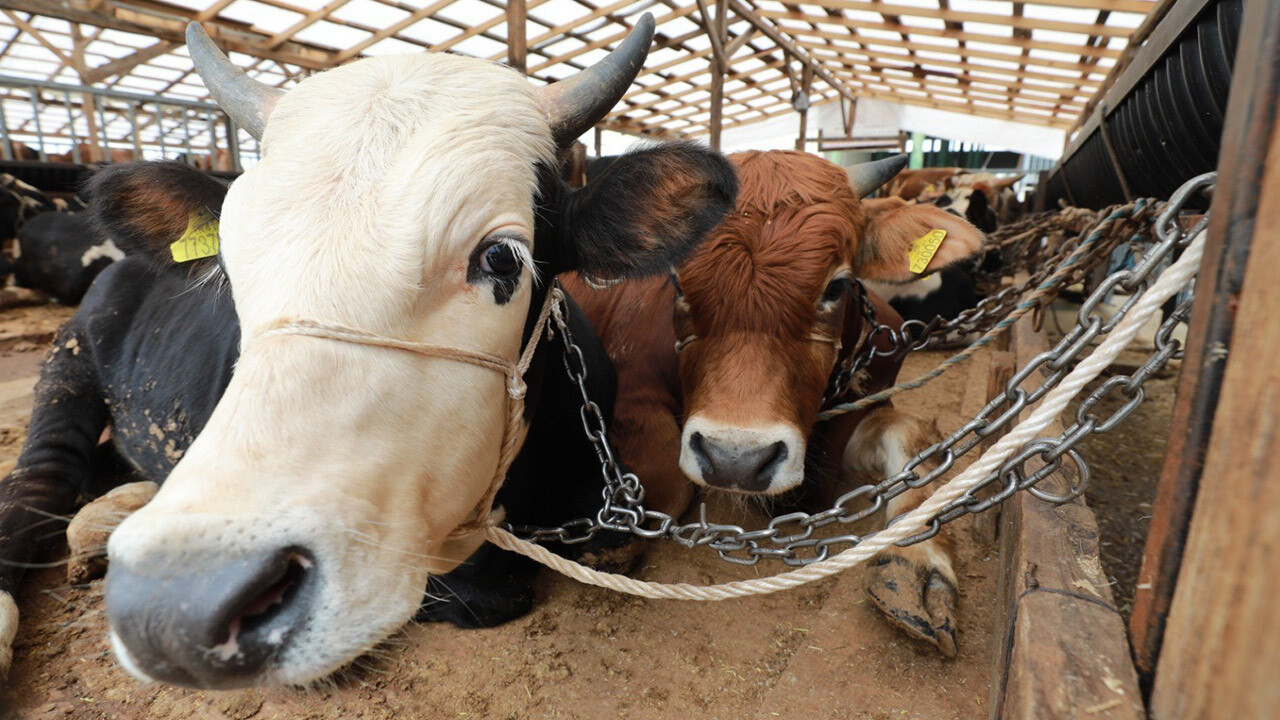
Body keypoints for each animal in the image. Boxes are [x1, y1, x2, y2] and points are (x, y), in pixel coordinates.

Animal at [0, 16, 737, 686]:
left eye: (501, 257)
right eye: (230, 265)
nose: (172, 604)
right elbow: (479, 592)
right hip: (67, 367)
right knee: (36, 484)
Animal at [565, 148, 983, 653]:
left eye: (836, 287)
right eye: (678, 286)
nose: (736, 461)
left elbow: (916, 441)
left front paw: (917, 561)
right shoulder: (628, 395)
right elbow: (669, 475)